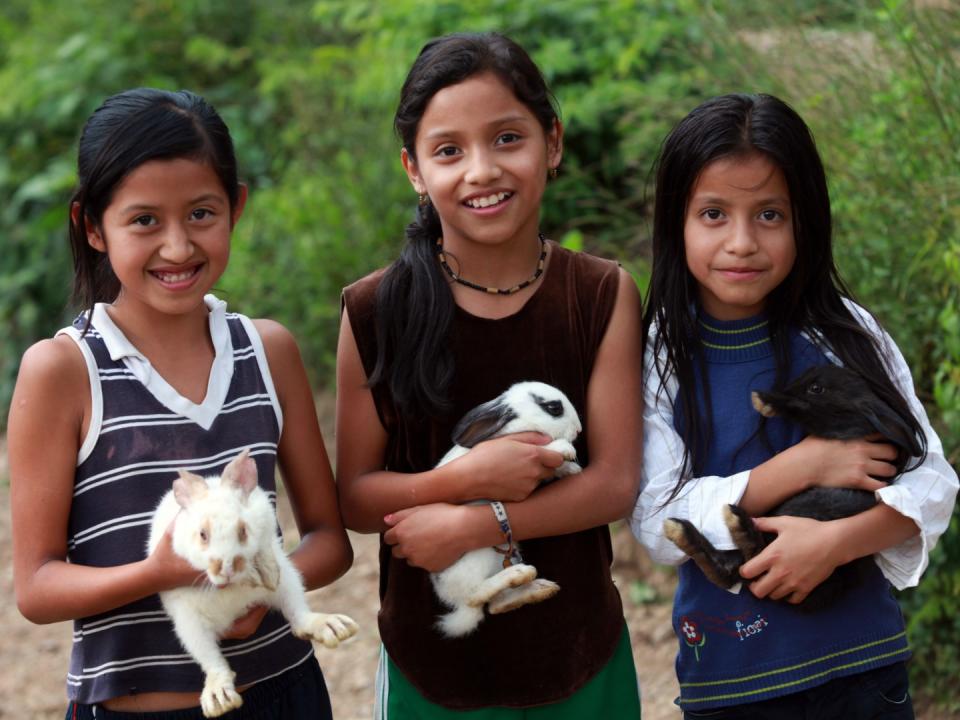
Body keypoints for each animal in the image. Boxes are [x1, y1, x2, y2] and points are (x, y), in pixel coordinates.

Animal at [148, 450, 358, 716]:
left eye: (243, 531)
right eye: (203, 535)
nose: (227, 568)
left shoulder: (266, 521)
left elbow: (265, 548)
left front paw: (266, 573)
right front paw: (250, 576)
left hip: (290, 583)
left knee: (299, 617)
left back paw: (330, 626)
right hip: (189, 625)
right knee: (212, 660)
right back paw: (219, 699)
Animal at [430, 380, 580, 640]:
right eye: (554, 408)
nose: (579, 430)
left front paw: (572, 470)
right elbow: (550, 449)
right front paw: (565, 450)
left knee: (495, 605)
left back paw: (540, 588)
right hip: (477, 557)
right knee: (475, 596)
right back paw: (519, 574)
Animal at [664, 368, 928, 612]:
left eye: (816, 388)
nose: (785, 388)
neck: (857, 411)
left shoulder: (830, 422)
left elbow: (801, 407)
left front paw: (764, 400)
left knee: (754, 559)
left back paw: (734, 523)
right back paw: (684, 532)